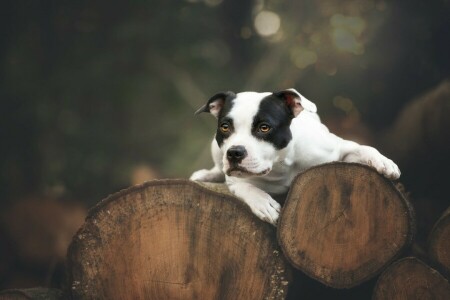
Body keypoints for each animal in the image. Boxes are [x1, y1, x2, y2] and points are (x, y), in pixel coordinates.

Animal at [188, 89, 400, 225]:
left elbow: (364, 148)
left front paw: (384, 162)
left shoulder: (339, 150)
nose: (234, 152)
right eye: (225, 127)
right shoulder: (235, 179)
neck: (281, 164)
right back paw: (207, 175)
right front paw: (263, 203)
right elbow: (244, 186)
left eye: (264, 127)